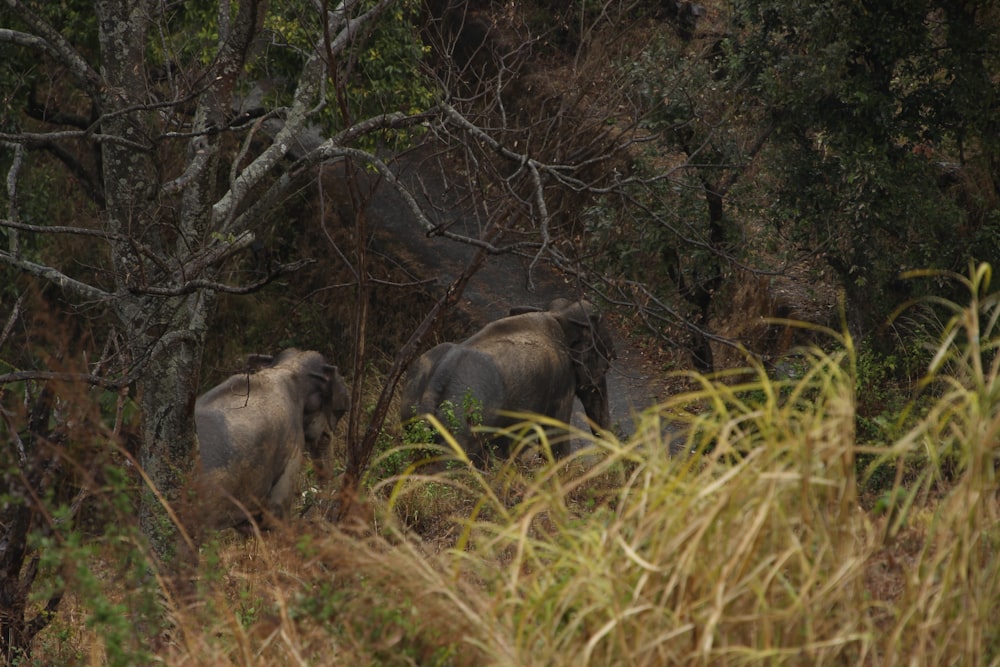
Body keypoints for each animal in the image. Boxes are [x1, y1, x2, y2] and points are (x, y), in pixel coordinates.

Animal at [400, 300, 616, 468]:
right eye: (606, 366)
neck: (558, 314)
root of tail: (437, 378)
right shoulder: (561, 380)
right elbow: (555, 435)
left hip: (411, 408)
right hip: (460, 424)